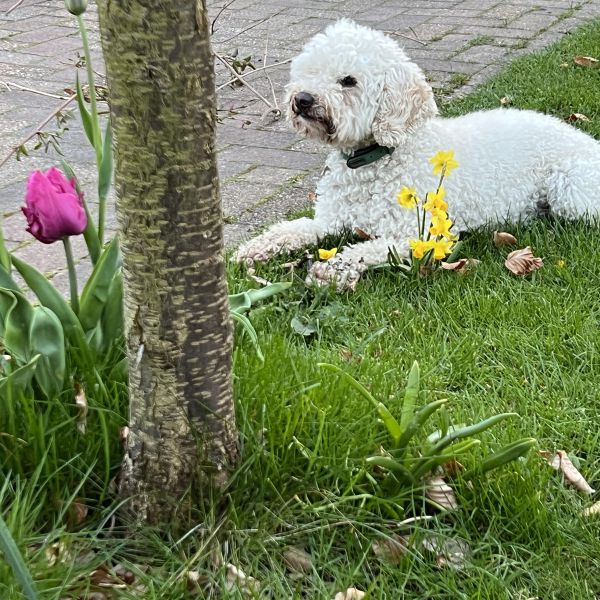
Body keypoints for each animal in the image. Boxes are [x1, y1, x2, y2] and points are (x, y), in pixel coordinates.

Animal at [234, 19, 600, 290]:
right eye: (308, 71)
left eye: (349, 81)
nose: (302, 99)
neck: (373, 159)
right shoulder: (330, 220)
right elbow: (292, 229)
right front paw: (253, 249)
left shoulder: (417, 234)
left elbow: (367, 248)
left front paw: (332, 269)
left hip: (570, 190)